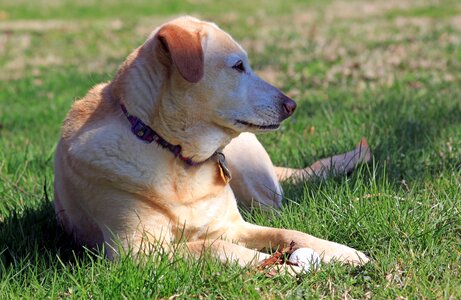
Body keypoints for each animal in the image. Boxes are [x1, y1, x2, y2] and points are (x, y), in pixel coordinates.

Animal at [54, 15, 370, 270]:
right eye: (238, 66)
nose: (291, 105)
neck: (175, 154)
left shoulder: (232, 226)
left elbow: (290, 232)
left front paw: (342, 252)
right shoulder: (135, 250)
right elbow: (213, 246)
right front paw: (277, 265)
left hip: (257, 188)